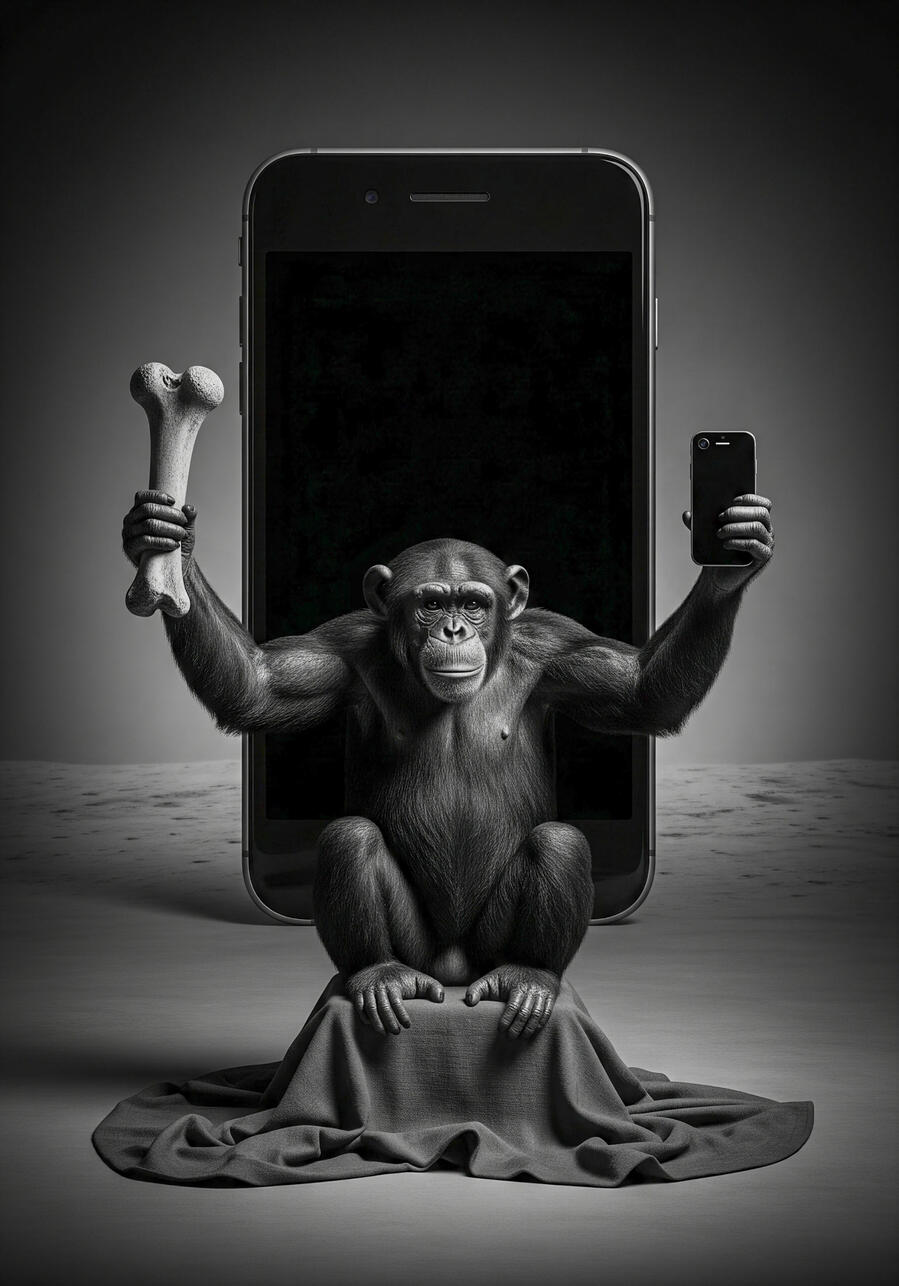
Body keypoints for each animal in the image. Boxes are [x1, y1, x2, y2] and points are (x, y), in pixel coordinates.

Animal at [122, 490, 773, 1040]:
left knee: (559, 843)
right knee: (351, 839)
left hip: (488, 948)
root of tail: (455, 970)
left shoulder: (565, 651)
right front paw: (163, 534)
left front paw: (729, 563)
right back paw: (378, 973)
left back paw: (531, 977)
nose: (455, 629)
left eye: (475, 604)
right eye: (431, 603)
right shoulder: (333, 651)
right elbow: (256, 686)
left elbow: (642, 690)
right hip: (420, 950)